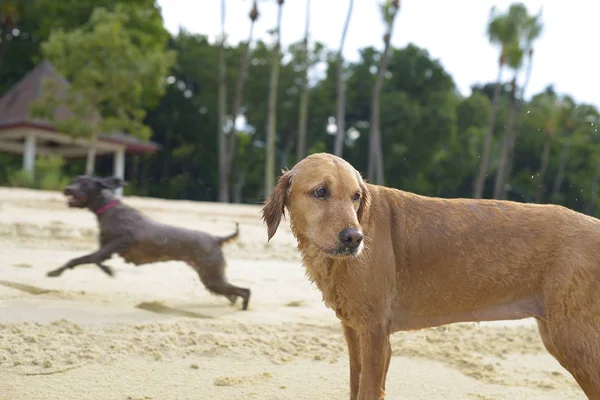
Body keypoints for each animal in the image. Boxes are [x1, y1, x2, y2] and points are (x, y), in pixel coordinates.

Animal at [47, 177, 251, 310]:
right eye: (74, 180)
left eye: (84, 183)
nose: (67, 189)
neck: (108, 208)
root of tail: (216, 239)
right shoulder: (107, 248)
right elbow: (87, 259)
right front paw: (56, 271)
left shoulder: (122, 241)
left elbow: (88, 259)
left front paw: (106, 270)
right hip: (210, 277)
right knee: (234, 292)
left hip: (211, 275)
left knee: (245, 290)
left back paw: (243, 306)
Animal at [262, 153, 600, 400]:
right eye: (321, 191)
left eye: (356, 196)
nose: (354, 239)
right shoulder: (354, 331)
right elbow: (355, 386)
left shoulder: (375, 334)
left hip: (573, 340)